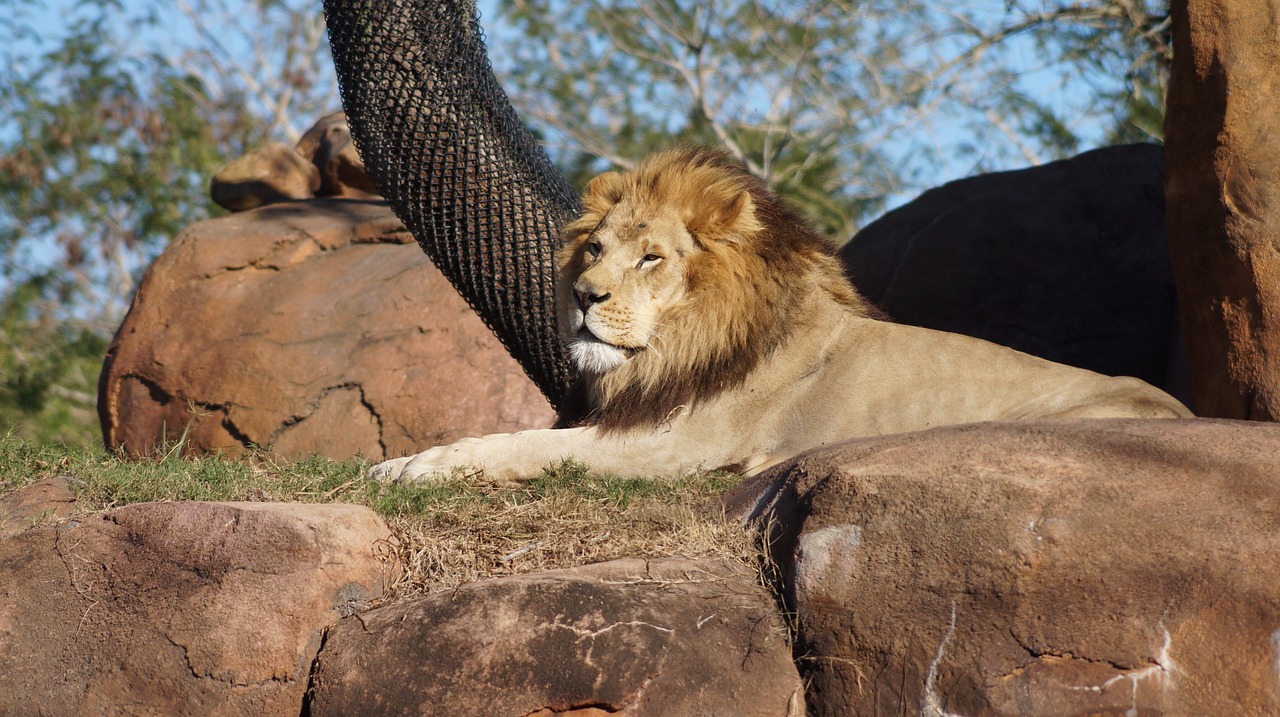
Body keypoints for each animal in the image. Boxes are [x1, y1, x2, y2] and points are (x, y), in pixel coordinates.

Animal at [373, 146, 1192, 483]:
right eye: (595, 249)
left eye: (651, 259)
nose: (584, 297)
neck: (680, 342)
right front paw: (400, 460)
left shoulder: (676, 445)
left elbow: (525, 445)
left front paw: (419, 465)